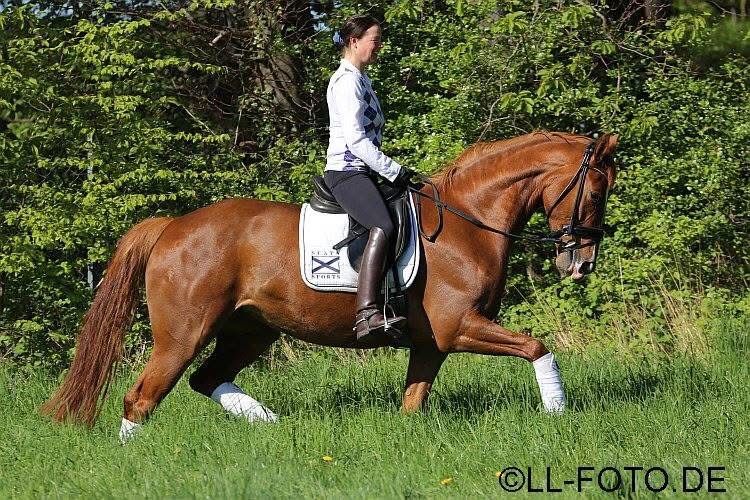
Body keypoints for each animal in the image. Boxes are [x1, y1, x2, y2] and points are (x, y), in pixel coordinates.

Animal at [42, 131, 619, 439]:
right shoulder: (460, 327)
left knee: (207, 380)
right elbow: (538, 347)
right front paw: (559, 416)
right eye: (595, 192)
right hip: (183, 333)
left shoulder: (433, 342)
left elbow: (414, 400)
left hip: (250, 330)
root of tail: (173, 225)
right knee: (141, 397)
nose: (582, 264)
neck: (467, 223)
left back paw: (269, 423)